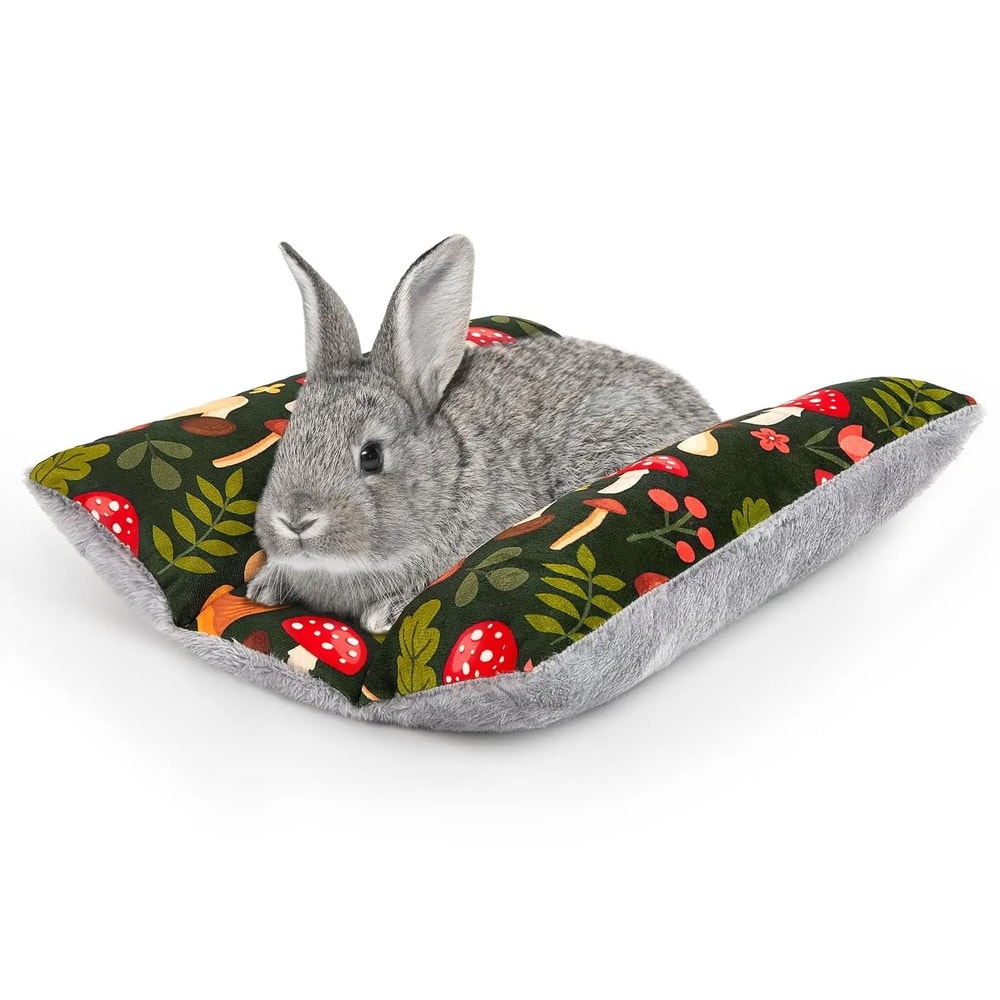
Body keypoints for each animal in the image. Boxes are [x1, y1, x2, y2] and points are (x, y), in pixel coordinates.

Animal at [248, 236, 718, 633]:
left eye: (371, 455)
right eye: (287, 442)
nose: (296, 520)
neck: (448, 475)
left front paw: (385, 613)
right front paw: (265, 585)